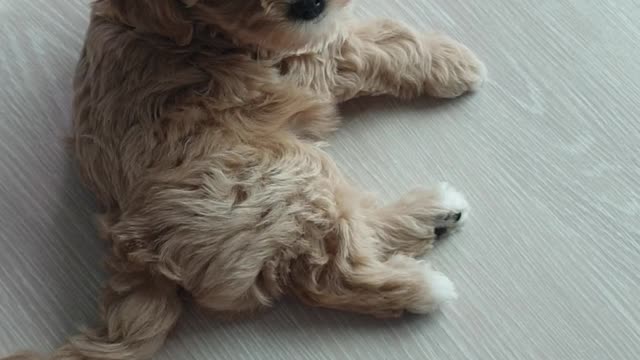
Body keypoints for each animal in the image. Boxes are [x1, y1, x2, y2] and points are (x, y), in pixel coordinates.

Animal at [3, 0, 484, 358]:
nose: (308, 6)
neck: (207, 33)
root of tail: (135, 250)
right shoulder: (303, 60)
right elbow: (375, 41)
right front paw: (449, 59)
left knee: (343, 228)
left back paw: (433, 215)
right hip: (280, 174)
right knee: (328, 271)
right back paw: (421, 286)